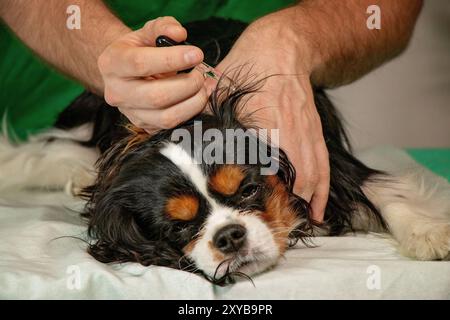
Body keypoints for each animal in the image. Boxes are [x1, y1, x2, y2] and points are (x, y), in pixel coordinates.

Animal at [0, 18, 450, 284]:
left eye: (249, 190)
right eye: (178, 227)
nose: (229, 236)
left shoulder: (324, 160)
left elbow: (384, 191)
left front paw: (429, 233)